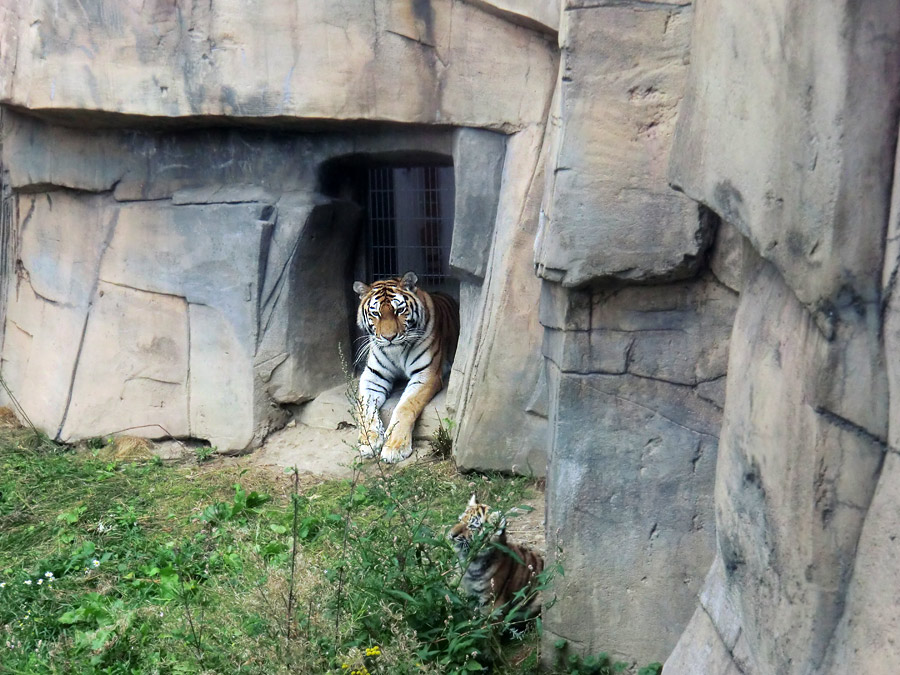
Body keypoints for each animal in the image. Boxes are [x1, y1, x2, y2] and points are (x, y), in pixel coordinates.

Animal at [352, 272, 460, 462]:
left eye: (399, 310)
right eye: (375, 313)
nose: (389, 337)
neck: (397, 352)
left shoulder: (425, 375)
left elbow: (405, 406)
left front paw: (395, 447)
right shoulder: (372, 376)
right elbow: (365, 409)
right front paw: (369, 440)